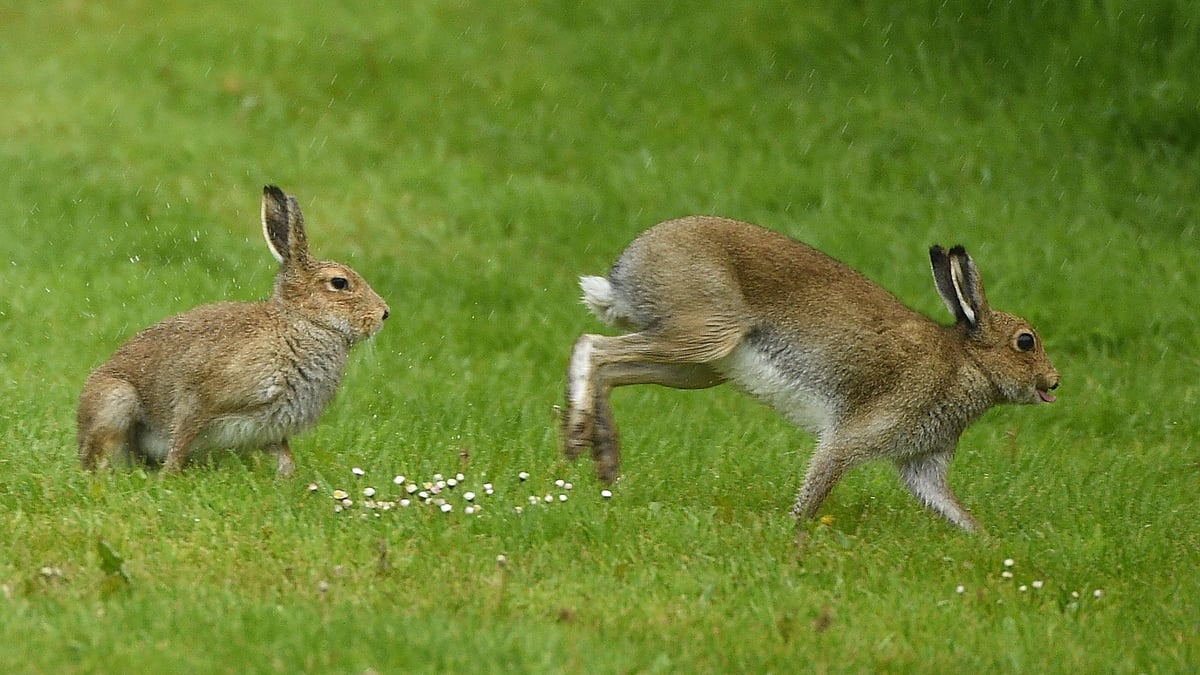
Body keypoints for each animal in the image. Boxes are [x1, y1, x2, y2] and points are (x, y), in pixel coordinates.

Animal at [77, 185, 390, 477]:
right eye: (339, 283)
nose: (384, 313)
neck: (300, 322)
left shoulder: (268, 425)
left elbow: (285, 455)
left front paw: (286, 479)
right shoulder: (198, 397)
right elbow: (181, 437)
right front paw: (169, 477)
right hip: (116, 401)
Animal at [563, 216, 1059, 532]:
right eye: (1025, 342)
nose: (1053, 383)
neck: (967, 363)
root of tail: (623, 275)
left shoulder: (924, 465)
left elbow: (950, 508)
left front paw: (988, 543)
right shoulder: (851, 437)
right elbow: (819, 483)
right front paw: (792, 531)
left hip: (697, 367)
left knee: (611, 369)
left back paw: (604, 461)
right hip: (704, 334)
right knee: (592, 347)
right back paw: (574, 439)